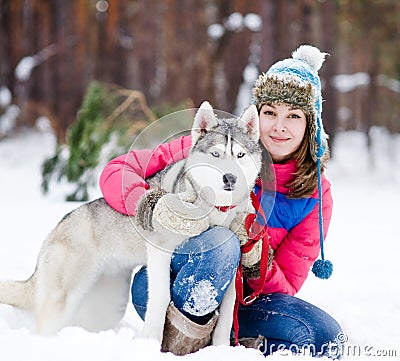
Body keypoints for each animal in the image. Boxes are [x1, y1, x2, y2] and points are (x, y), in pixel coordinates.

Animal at [0, 100, 260, 346]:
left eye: (240, 155)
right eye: (216, 154)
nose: (230, 178)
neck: (217, 209)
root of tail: (57, 228)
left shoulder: (235, 270)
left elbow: (227, 315)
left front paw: (221, 348)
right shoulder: (159, 251)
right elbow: (161, 297)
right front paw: (151, 341)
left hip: (106, 306)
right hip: (63, 300)